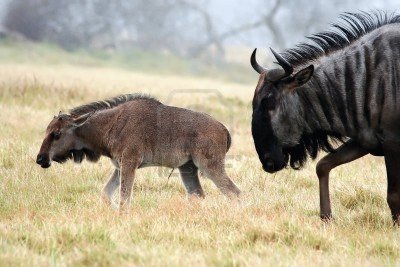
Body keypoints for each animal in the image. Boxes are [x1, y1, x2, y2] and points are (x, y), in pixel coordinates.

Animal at [36, 94, 239, 211]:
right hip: (187, 169)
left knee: (234, 192)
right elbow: (106, 194)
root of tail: (224, 129)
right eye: (47, 130)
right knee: (197, 194)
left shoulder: (129, 164)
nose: (40, 159)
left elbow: (124, 198)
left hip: (209, 168)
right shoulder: (120, 167)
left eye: (57, 133)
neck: (112, 123)